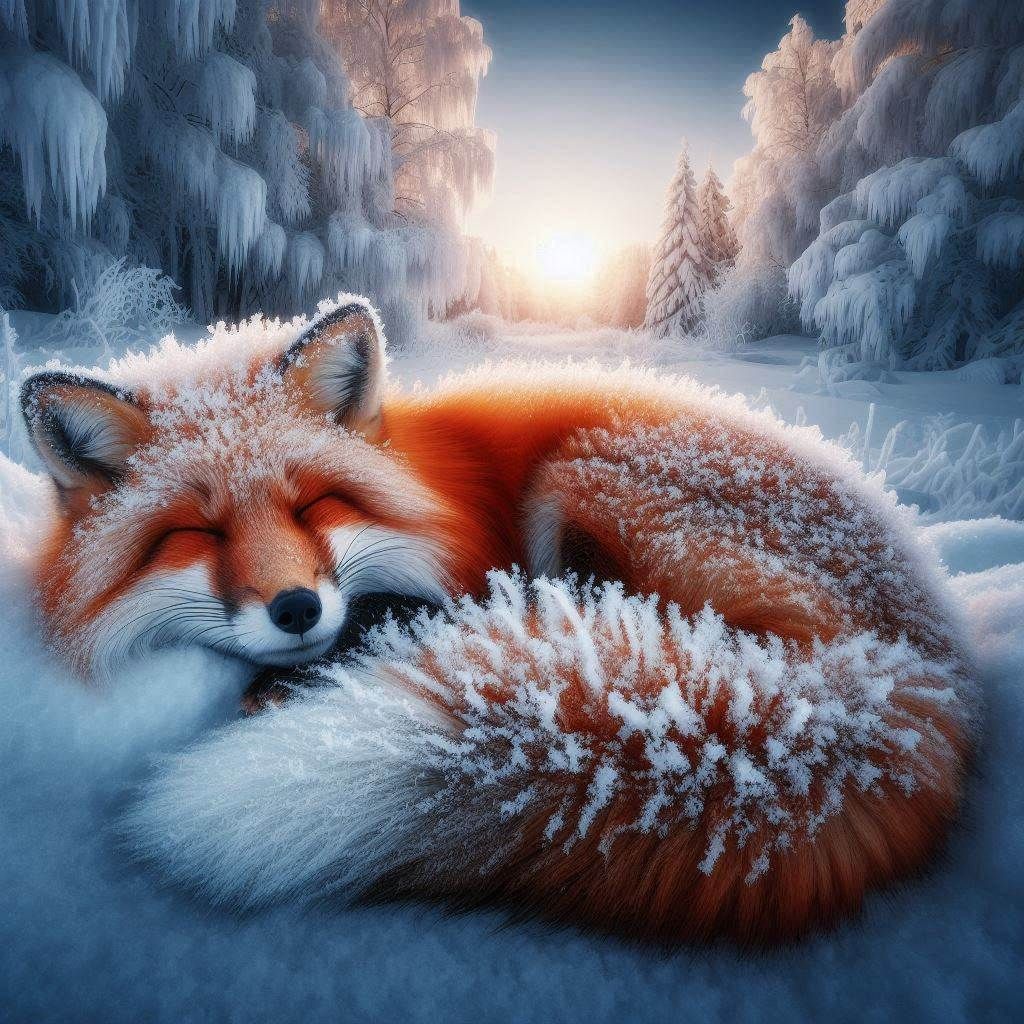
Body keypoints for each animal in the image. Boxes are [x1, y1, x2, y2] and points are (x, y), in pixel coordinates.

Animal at [22, 295, 977, 946]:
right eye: (199, 533)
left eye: (314, 505)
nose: (298, 610)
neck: (435, 486)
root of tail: (921, 669)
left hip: (582, 473)